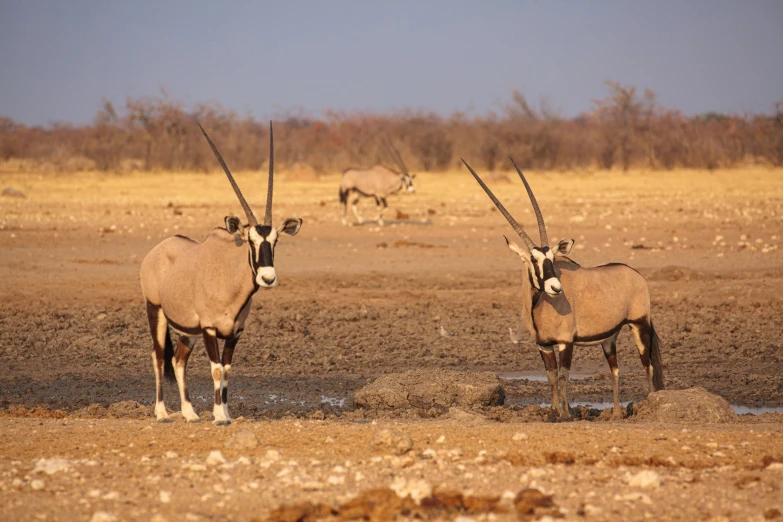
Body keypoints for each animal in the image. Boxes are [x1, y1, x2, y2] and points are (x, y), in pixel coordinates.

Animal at [139, 122, 302, 422]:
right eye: (250, 241)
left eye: (275, 241)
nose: (268, 277)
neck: (230, 279)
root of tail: (158, 249)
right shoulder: (210, 328)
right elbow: (215, 369)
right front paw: (218, 416)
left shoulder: (234, 332)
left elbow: (226, 371)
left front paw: (225, 412)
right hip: (155, 310)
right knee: (158, 356)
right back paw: (162, 412)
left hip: (187, 331)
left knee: (178, 360)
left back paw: (190, 413)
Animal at [462, 155, 664, 418]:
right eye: (534, 260)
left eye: (552, 259)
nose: (556, 288)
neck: (538, 306)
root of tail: (636, 274)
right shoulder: (544, 345)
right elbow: (551, 378)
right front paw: (553, 412)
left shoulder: (566, 342)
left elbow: (564, 376)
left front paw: (566, 414)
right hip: (610, 338)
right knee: (616, 370)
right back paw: (616, 413)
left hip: (639, 325)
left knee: (647, 365)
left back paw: (649, 403)